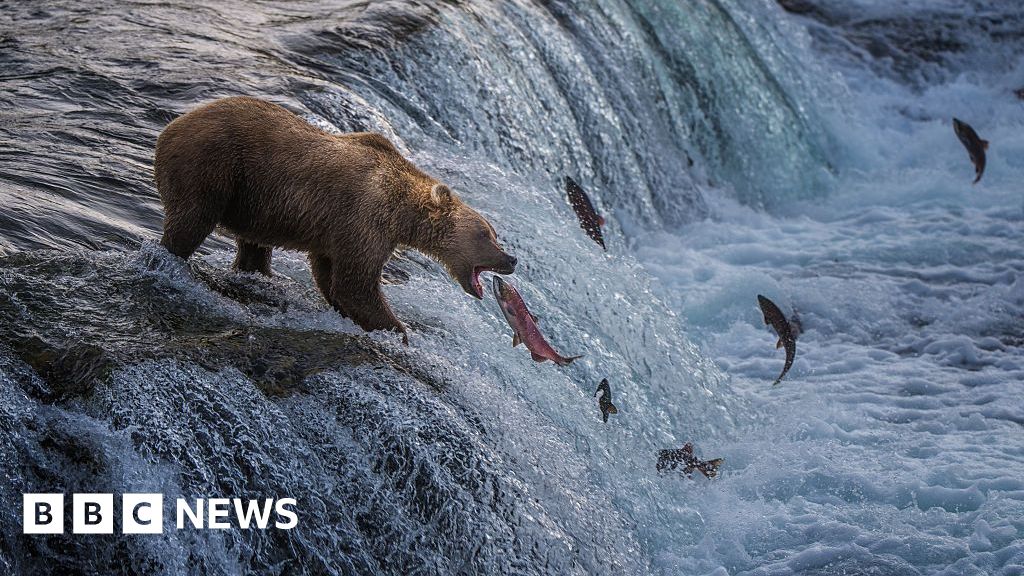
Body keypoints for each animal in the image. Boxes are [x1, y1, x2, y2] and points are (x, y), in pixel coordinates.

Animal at [154, 96, 517, 343]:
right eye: (486, 234)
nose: (511, 258)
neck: (402, 214)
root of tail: (171, 127)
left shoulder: (338, 230)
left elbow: (331, 275)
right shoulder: (364, 218)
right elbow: (355, 283)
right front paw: (398, 331)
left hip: (250, 200)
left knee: (252, 245)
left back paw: (257, 273)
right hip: (212, 166)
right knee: (191, 222)